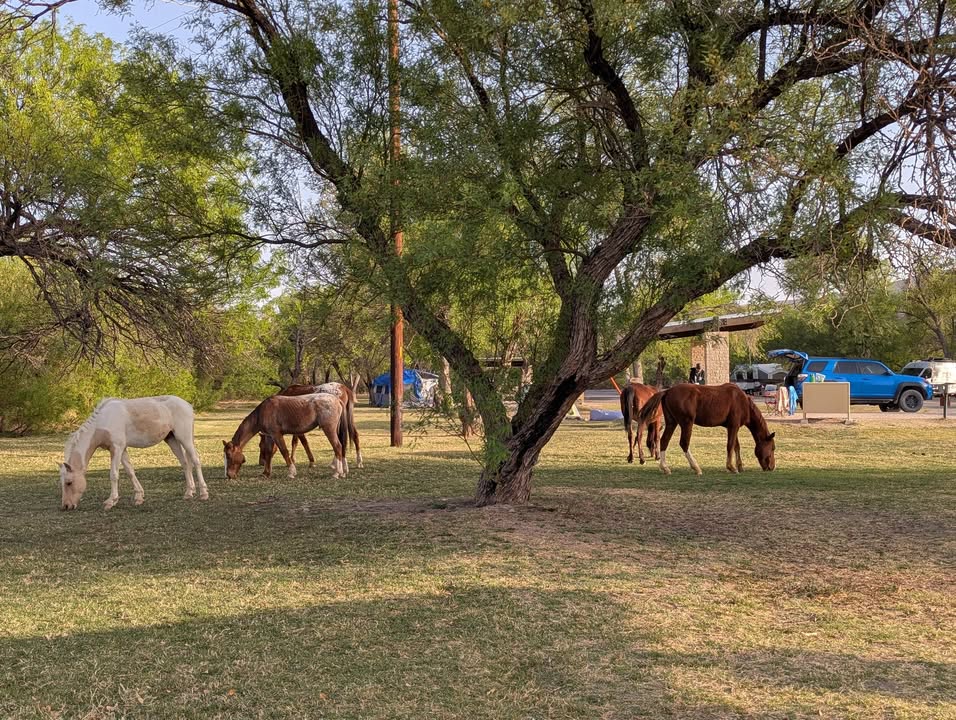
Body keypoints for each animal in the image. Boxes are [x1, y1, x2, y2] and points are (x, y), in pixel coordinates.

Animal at [59, 395, 208, 511]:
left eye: (69, 482)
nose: (66, 506)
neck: (102, 422)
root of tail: (187, 405)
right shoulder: (122, 450)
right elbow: (130, 472)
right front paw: (139, 497)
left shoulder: (117, 448)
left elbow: (114, 475)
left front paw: (111, 501)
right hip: (172, 439)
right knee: (185, 463)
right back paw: (188, 492)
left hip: (184, 438)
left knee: (196, 460)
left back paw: (204, 493)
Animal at [638, 383, 776, 475]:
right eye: (773, 448)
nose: (772, 467)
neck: (743, 402)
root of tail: (667, 391)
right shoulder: (733, 427)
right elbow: (730, 446)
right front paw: (731, 467)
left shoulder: (733, 427)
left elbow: (736, 446)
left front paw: (740, 467)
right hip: (686, 423)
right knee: (684, 443)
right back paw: (696, 468)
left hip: (672, 423)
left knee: (664, 441)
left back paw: (665, 468)